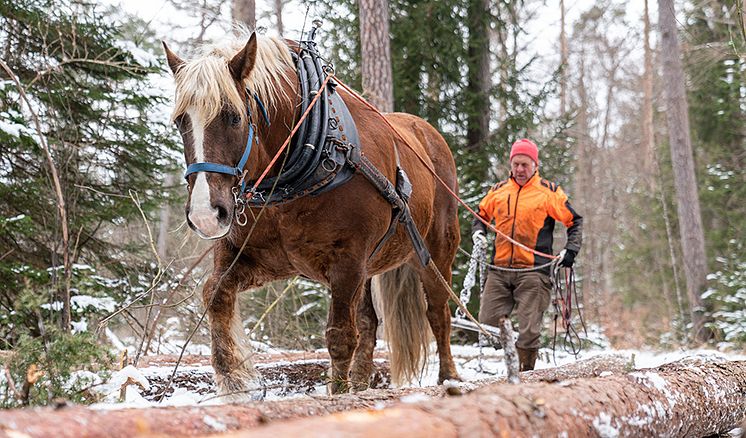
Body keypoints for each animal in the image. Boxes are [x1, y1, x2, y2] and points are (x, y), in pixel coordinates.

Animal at [163, 33, 460, 396]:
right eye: (181, 121)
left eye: (233, 116)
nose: (206, 213)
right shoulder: (259, 257)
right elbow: (215, 293)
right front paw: (233, 377)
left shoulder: (348, 260)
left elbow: (340, 337)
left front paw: (338, 393)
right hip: (370, 267)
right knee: (369, 322)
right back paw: (362, 383)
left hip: (433, 252)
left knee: (438, 314)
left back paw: (448, 376)